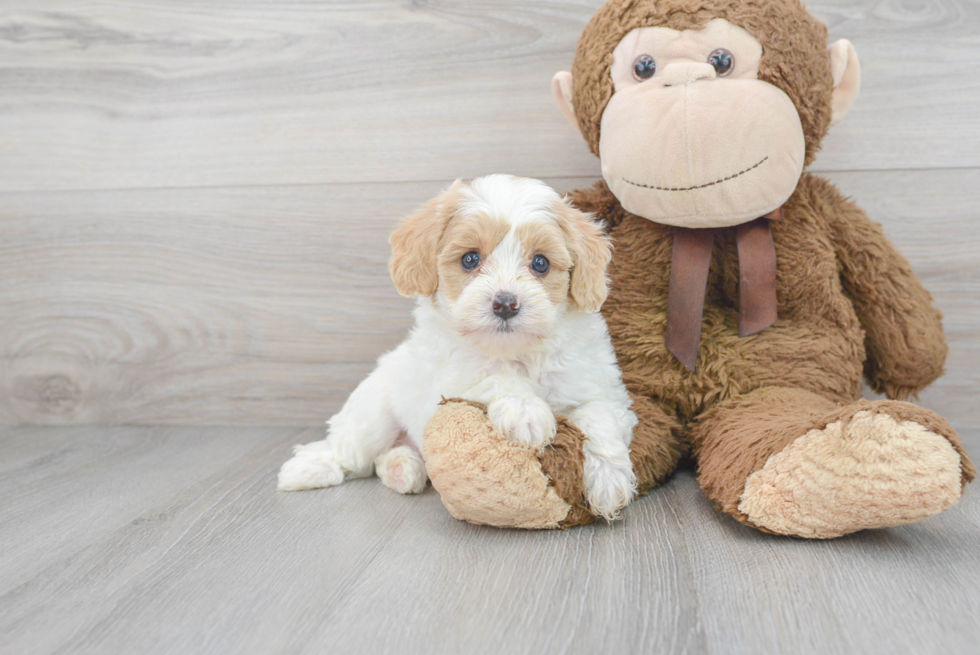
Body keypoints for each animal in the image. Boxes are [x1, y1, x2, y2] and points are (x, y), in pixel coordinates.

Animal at [280, 176, 640, 524]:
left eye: (540, 263)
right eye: (470, 259)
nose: (505, 303)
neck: (516, 351)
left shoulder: (602, 389)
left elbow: (600, 417)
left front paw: (609, 482)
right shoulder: (446, 380)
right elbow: (493, 376)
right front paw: (525, 409)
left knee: (384, 459)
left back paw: (401, 468)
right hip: (372, 414)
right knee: (349, 452)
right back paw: (307, 469)